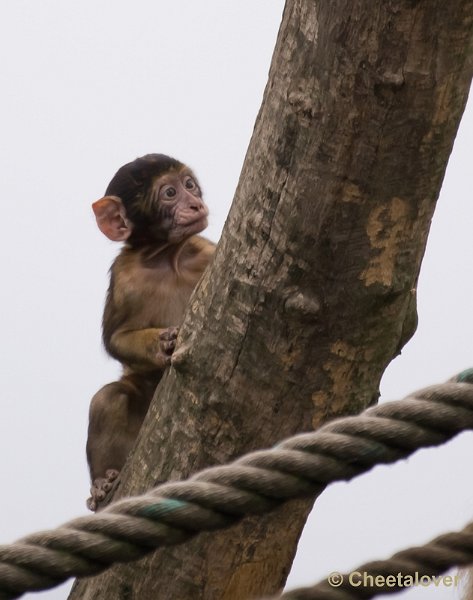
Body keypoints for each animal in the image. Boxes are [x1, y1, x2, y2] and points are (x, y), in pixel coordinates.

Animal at [86, 155, 214, 510]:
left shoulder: (207, 252)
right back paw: (102, 485)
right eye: (170, 193)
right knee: (109, 398)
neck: (168, 256)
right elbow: (115, 339)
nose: (195, 203)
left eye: (189, 185)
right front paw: (162, 343)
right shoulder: (125, 276)